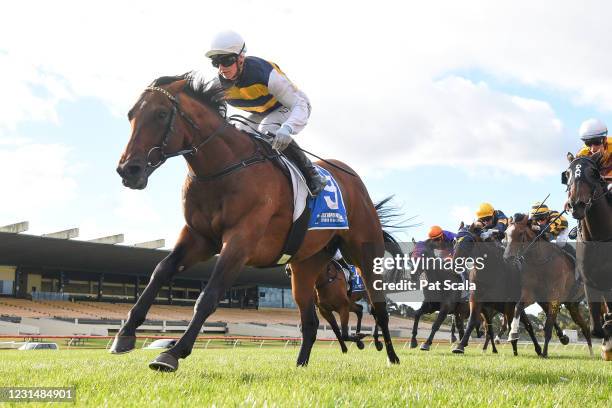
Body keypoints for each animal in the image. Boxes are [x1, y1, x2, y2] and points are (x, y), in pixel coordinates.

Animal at [112, 73, 402, 370]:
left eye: (160, 114)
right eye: (131, 114)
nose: (128, 170)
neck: (222, 168)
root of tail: (356, 182)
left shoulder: (241, 240)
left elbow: (208, 296)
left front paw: (173, 352)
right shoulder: (199, 237)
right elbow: (160, 271)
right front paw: (125, 334)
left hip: (363, 251)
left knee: (378, 308)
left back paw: (391, 356)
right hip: (306, 265)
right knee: (310, 321)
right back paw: (301, 364)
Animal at [502, 214, 592, 356]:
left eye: (521, 233)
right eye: (505, 233)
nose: (507, 258)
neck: (540, 261)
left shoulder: (554, 298)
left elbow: (548, 326)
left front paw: (544, 353)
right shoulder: (530, 294)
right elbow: (518, 307)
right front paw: (513, 333)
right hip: (570, 305)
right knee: (585, 327)